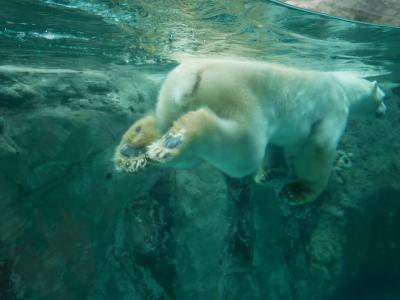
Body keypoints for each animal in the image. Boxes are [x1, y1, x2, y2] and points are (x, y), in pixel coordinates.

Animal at [114, 57, 386, 205]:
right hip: (238, 96)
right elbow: (320, 145)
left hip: (169, 96)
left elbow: (276, 144)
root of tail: (193, 75)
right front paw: (297, 191)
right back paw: (179, 137)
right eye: (383, 97)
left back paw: (134, 148)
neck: (343, 85)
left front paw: (272, 175)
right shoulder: (334, 107)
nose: (385, 110)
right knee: (245, 150)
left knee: (173, 135)